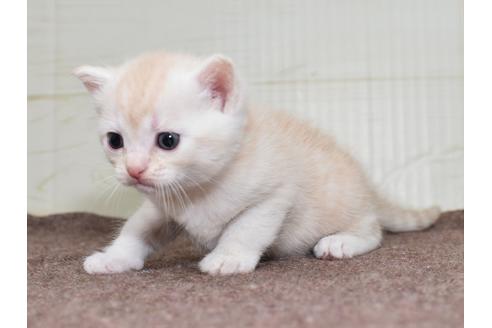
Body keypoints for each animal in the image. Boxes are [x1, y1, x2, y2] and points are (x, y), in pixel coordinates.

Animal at [74, 52, 442, 276]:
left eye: (167, 140)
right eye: (115, 141)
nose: (134, 170)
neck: (199, 190)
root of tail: (367, 184)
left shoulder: (273, 196)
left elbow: (244, 229)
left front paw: (228, 258)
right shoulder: (161, 206)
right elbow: (136, 229)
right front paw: (114, 258)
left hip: (346, 202)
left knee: (373, 229)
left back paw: (341, 242)